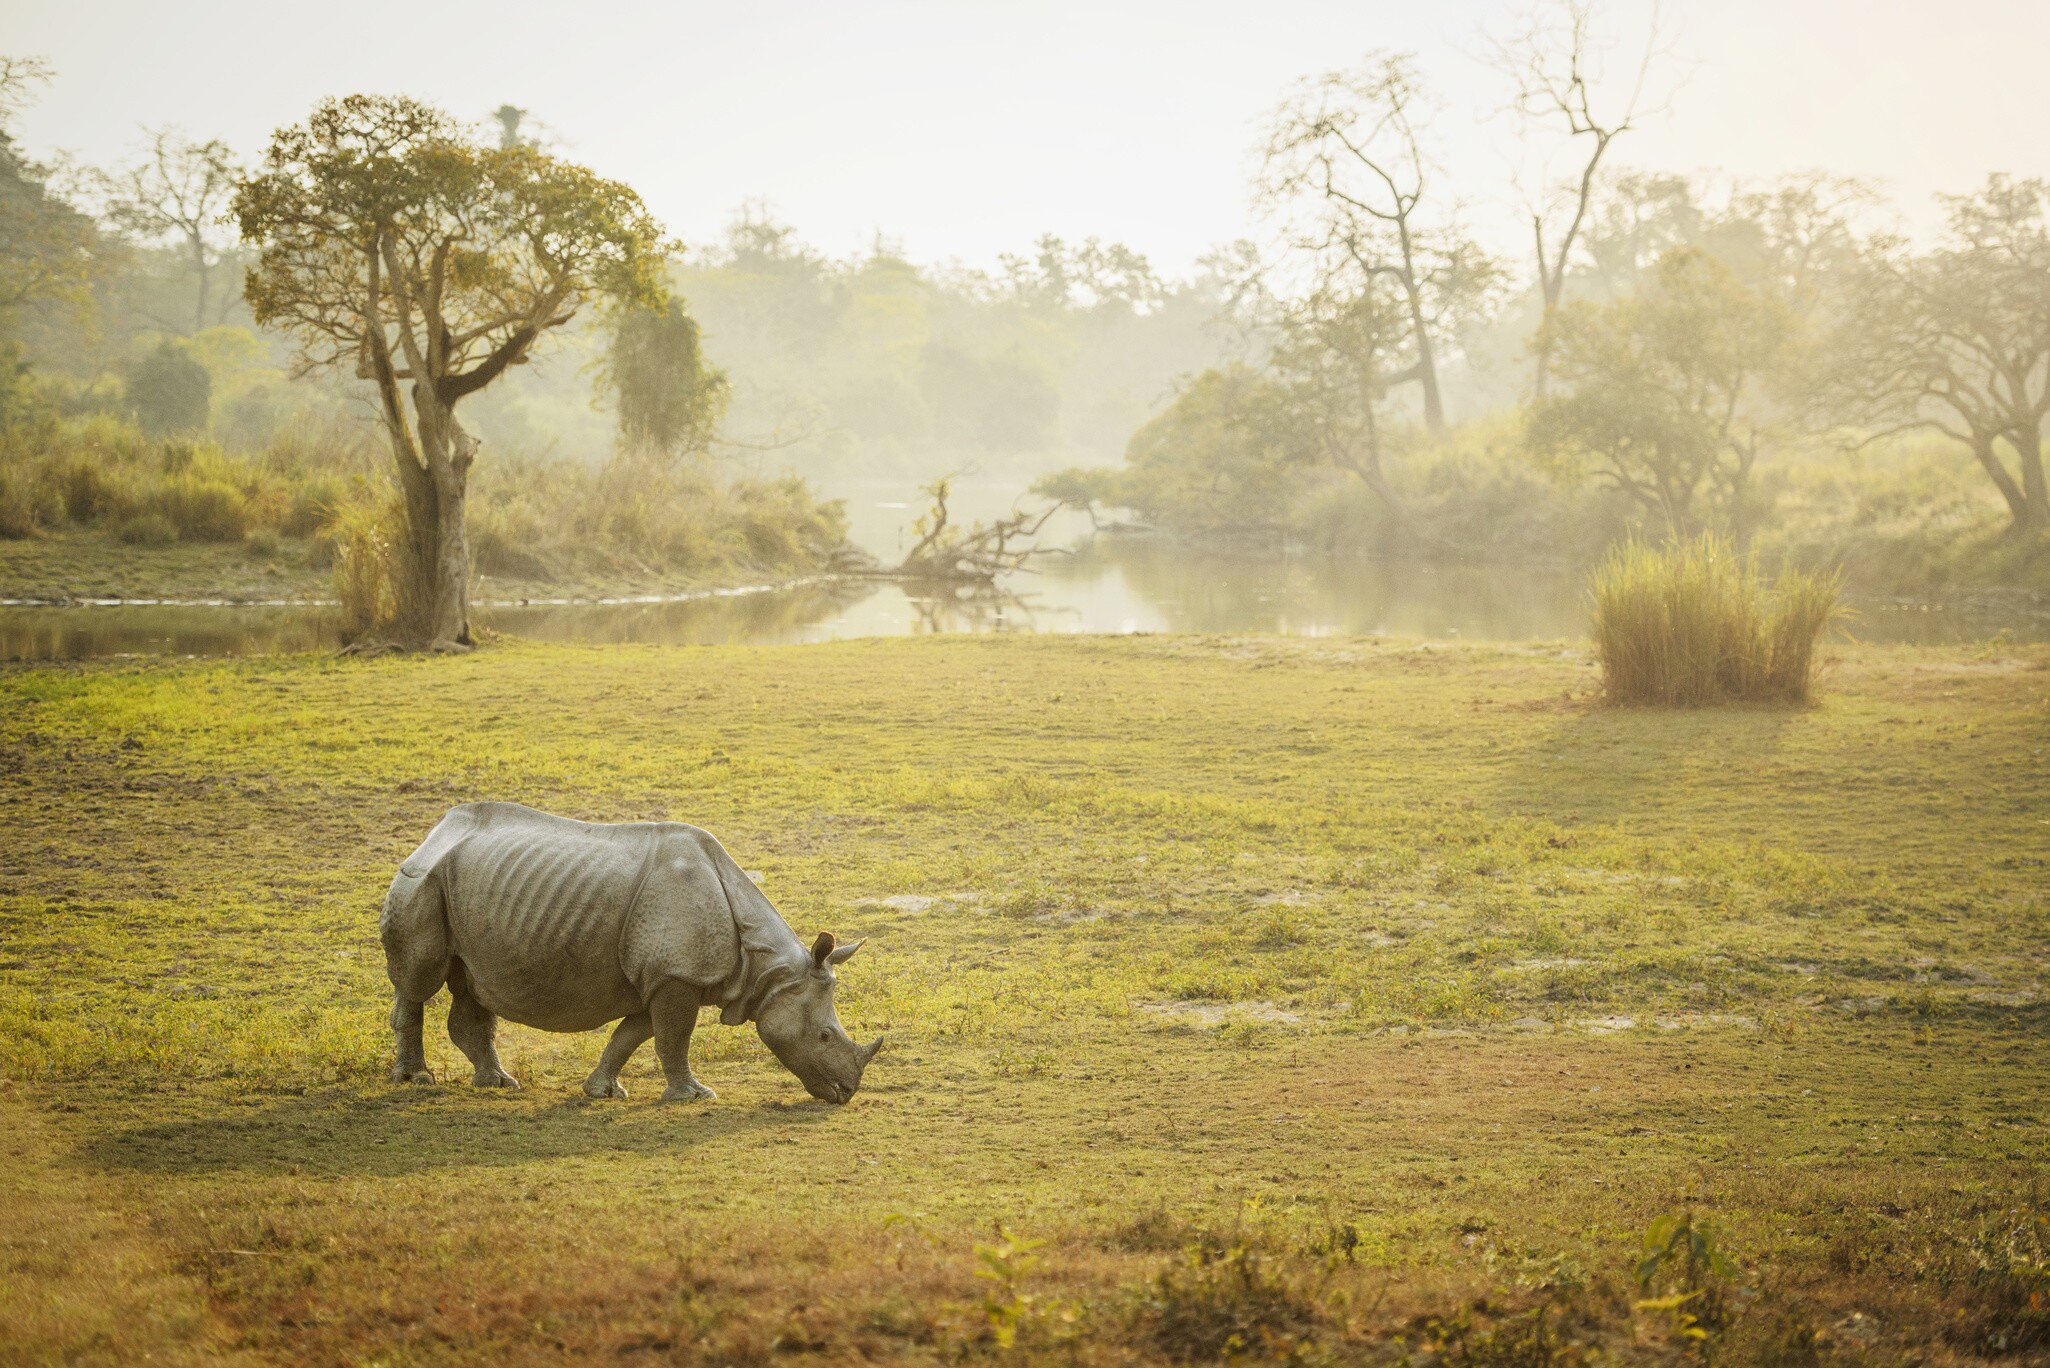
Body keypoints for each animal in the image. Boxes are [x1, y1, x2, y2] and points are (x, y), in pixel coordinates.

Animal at [380, 802, 882, 1103]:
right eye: (824, 1036)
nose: (846, 1092)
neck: (767, 970)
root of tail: (436, 831)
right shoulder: (676, 975)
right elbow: (672, 1037)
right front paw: (693, 1096)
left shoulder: (661, 976)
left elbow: (633, 1034)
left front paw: (602, 1090)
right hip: (420, 880)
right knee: (419, 979)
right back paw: (416, 1080)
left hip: (466, 885)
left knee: (469, 983)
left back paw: (498, 1084)